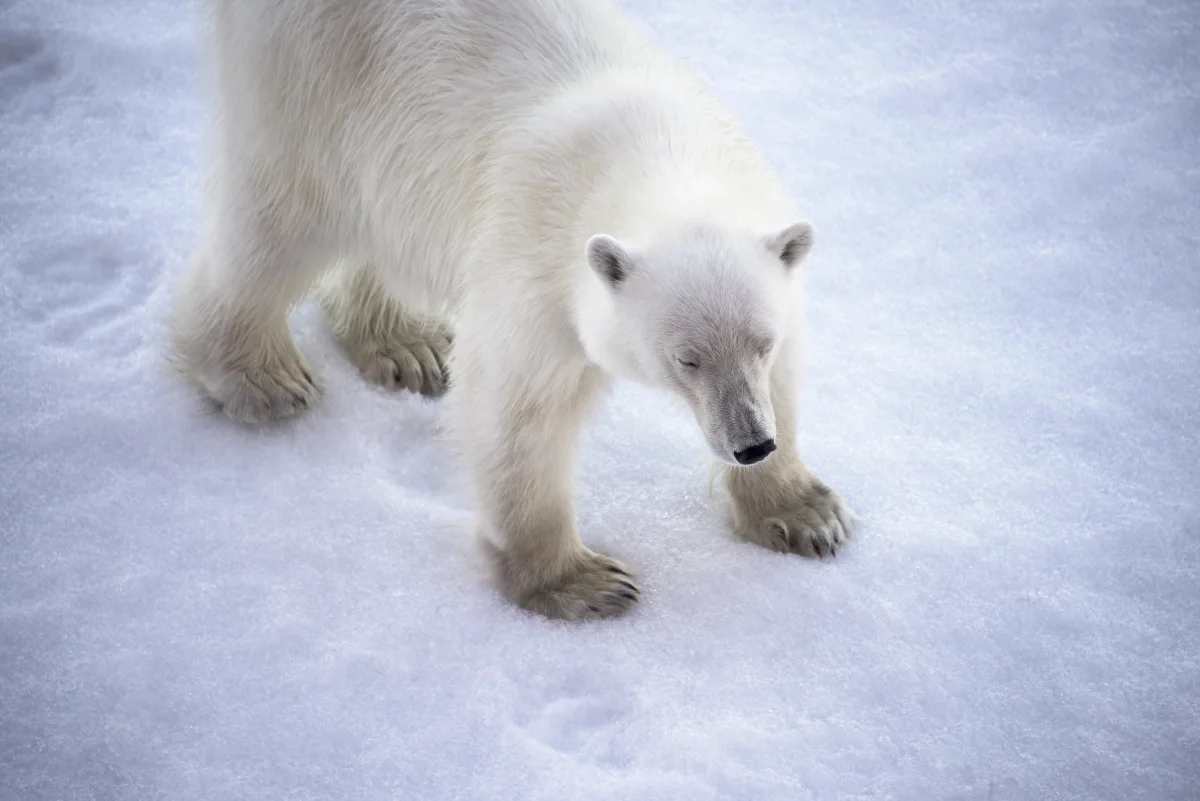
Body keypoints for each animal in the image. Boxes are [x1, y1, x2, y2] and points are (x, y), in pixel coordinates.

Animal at [171, 0, 855, 620]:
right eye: (686, 359)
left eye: (761, 342)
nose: (751, 445)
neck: (654, 151)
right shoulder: (537, 258)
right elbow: (518, 409)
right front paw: (582, 583)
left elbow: (783, 383)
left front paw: (807, 515)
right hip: (312, 80)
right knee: (280, 217)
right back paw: (263, 379)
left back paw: (409, 346)